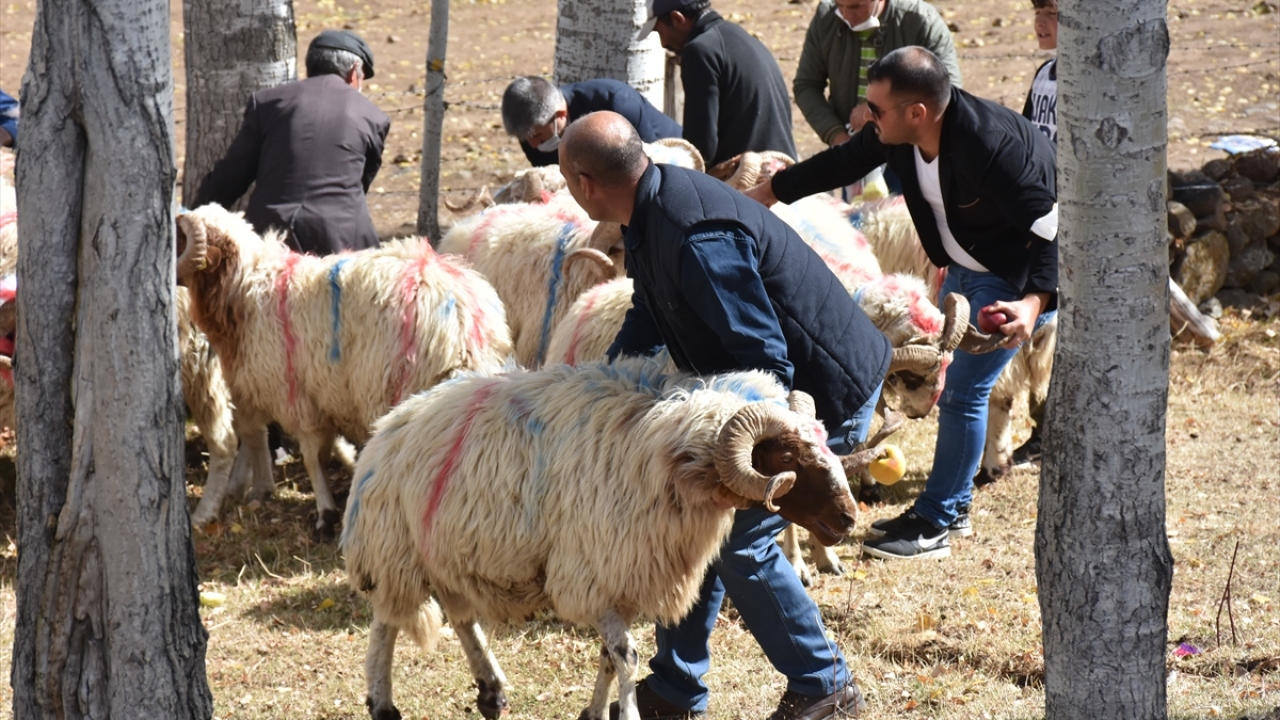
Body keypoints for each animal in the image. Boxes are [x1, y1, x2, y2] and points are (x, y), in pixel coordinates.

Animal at [175, 204, 514, 537]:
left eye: (179, 240)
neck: (242, 289)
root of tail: (462, 323)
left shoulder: (295, 395)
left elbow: (310, 454)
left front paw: (325, 513)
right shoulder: (313, 393)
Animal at [342, 355, 884, 720]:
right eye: (789, 458)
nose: (847, 518)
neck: (670, 459)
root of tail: (389, 425)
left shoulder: (619, 578)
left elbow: (609, 656)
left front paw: (594, 712)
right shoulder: (595, 574)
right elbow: (627, 656)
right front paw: (624, 713)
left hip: (448, 553)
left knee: (460, 617)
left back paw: (490, 689)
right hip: (395, 548)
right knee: (385, 624)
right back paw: (382, 702)